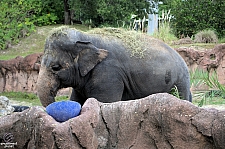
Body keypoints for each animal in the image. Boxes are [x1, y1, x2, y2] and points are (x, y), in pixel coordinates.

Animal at [37, 26, 192, 106]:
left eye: (56, 67)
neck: (86, 37)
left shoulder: (108, 74)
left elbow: (104, 103)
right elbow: (77, 101)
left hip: (179, 82)